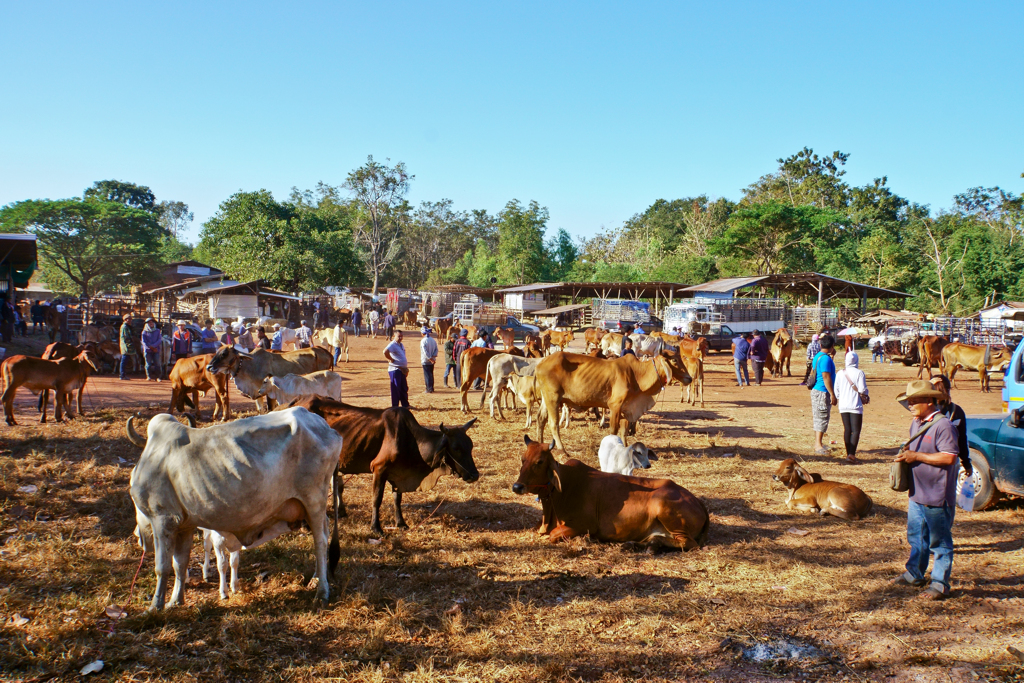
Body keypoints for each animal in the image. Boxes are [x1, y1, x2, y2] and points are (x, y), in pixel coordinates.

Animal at [126, 409, 344, 610]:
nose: (137, 535)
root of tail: (329, 429)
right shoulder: (184, 526)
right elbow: (180, 564)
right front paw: (175, 601)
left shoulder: (163, 520)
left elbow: (162, 567)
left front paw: (155, 607)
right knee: (323, 534)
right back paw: (316, 578)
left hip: (314, 500)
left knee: (320, 541)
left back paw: (322, 593)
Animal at [288, 397, 479, 536]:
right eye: (456, 448)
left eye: (470, 446)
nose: (474, 475)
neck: (412, 440)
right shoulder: (379, 470)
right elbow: (377, 499)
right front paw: (376, 528)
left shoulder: (398, 474)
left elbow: (397, 499)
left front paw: (401, 523)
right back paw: (305, 525)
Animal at [509, 438, 708, 548]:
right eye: (523, 459)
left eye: (540, 461)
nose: (517, 487)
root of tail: (697, 501)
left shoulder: (585, 525)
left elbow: (553, 535)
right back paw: (638, 545)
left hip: (664, 508)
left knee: (689, 544)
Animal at [532, 350, 692, 450]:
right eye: (674, 360)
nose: (689, 378)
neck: (637, 374)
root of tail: (540, 363)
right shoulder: (615, 406)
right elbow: (614, 430)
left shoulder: (627, 408)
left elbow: (624, 431)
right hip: (553, 398)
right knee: (553, 424)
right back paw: (562, 450)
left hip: (546, 399)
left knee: (540, 419)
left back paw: (540, 445)